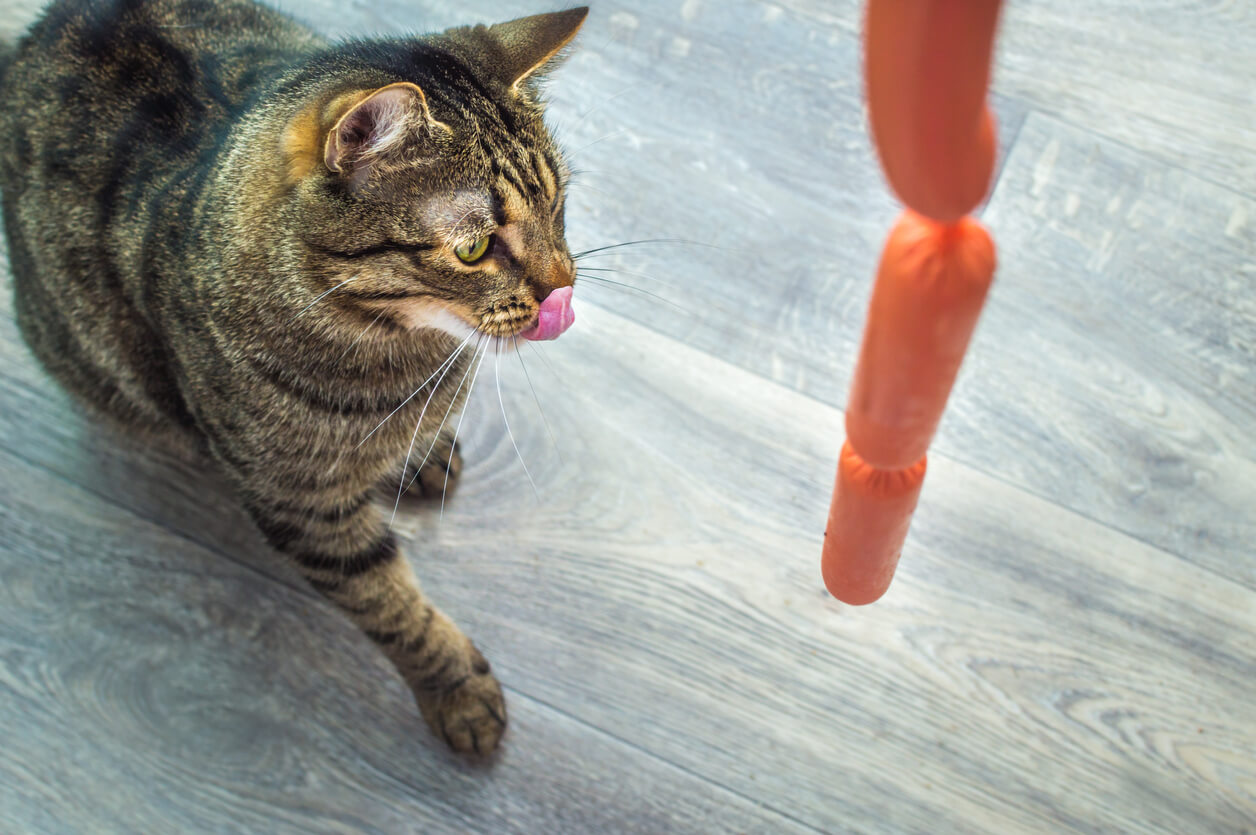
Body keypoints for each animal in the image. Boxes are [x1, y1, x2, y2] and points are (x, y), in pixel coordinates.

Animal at [0, 0, 587, 753]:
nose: (563, 288)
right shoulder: (301, 507)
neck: (401, 357)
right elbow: (393, 608)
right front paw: (457, 688)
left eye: (558, 208)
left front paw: (421, 450)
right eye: (474, 248)